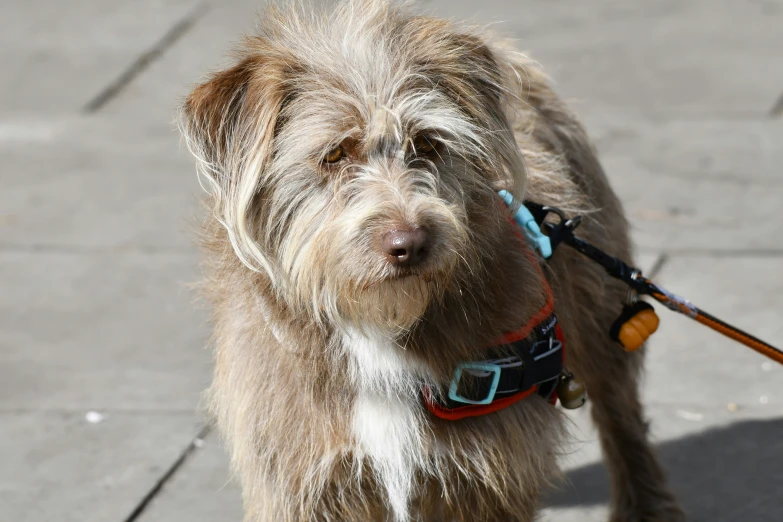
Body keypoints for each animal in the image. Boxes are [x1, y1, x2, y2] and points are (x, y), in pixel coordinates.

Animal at [178, 2, 688, 516]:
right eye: (335, 154)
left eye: (426, 143)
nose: (410, 243)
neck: (379, 331)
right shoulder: (302, 479)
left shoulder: (488, 476)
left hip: (599, 318)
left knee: (621, 417)